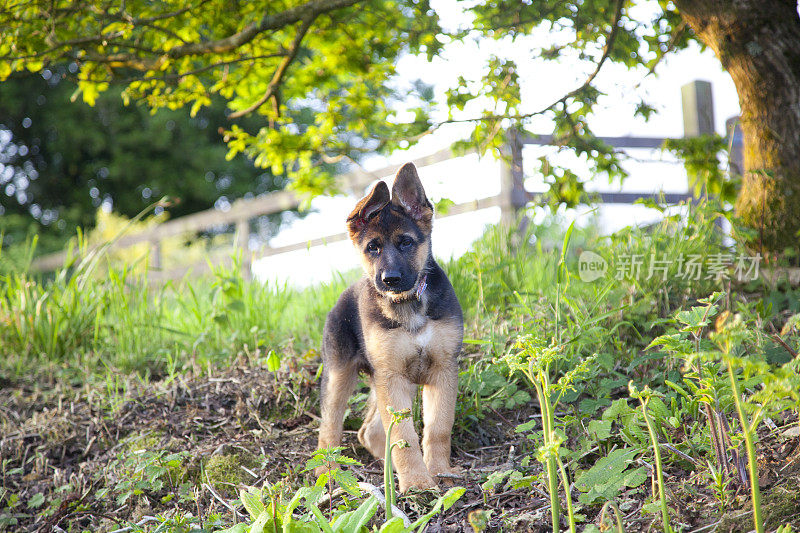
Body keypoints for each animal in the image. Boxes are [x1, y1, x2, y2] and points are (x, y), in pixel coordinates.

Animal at [314, 161, 462, 490]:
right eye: (373, 248)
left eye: (406, 242)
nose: (390, 279)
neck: (408, 304)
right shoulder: (392, 377)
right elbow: (405, 437)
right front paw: (418, 484)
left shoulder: (442, 370)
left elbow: (438, 428)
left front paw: (439, 472)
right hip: (341, 374)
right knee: (329, 427)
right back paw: (328, 474)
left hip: (382, 380)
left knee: (368, 431)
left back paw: (388, 470)